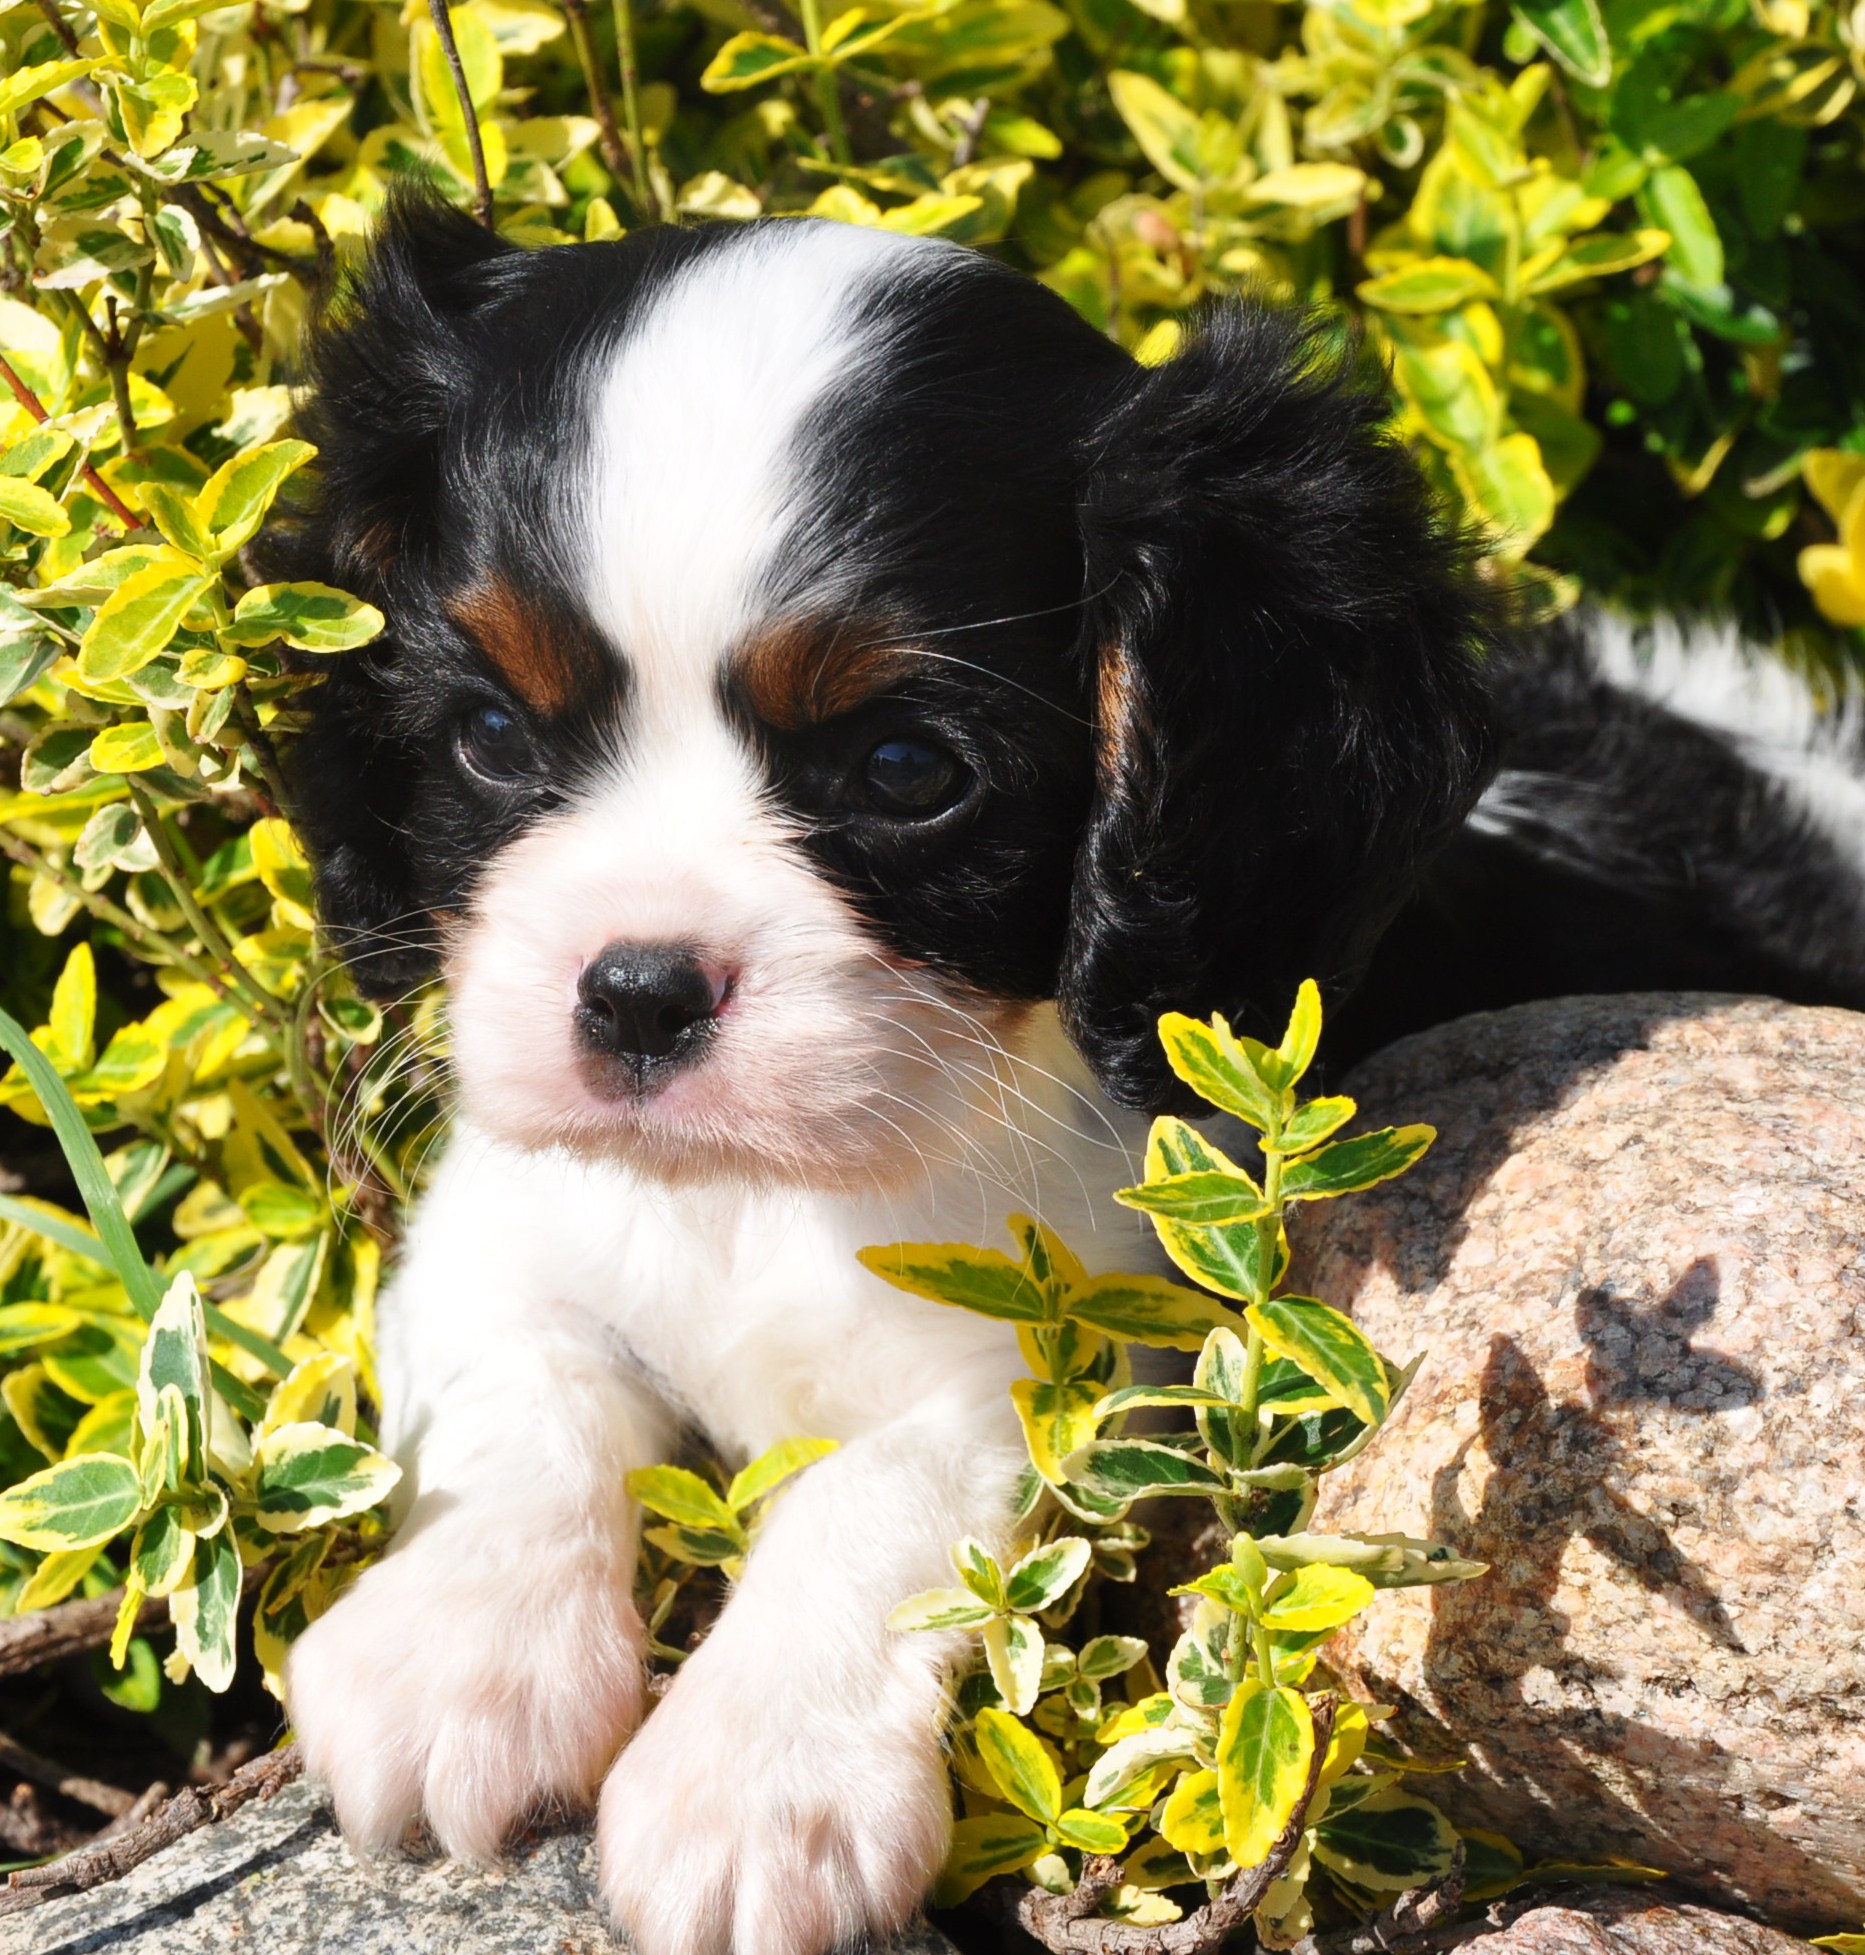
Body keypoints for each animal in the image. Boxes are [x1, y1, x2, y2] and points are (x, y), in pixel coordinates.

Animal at [280, 190, 1865, 1955]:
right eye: (488, 734)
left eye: (907, 769)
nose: (634, 989)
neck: (773, 1186)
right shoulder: (496, 1217)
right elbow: (522, 1388)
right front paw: (454, 1654)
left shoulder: (1093, 1344)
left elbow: (882, 1485)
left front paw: (756, 1778)